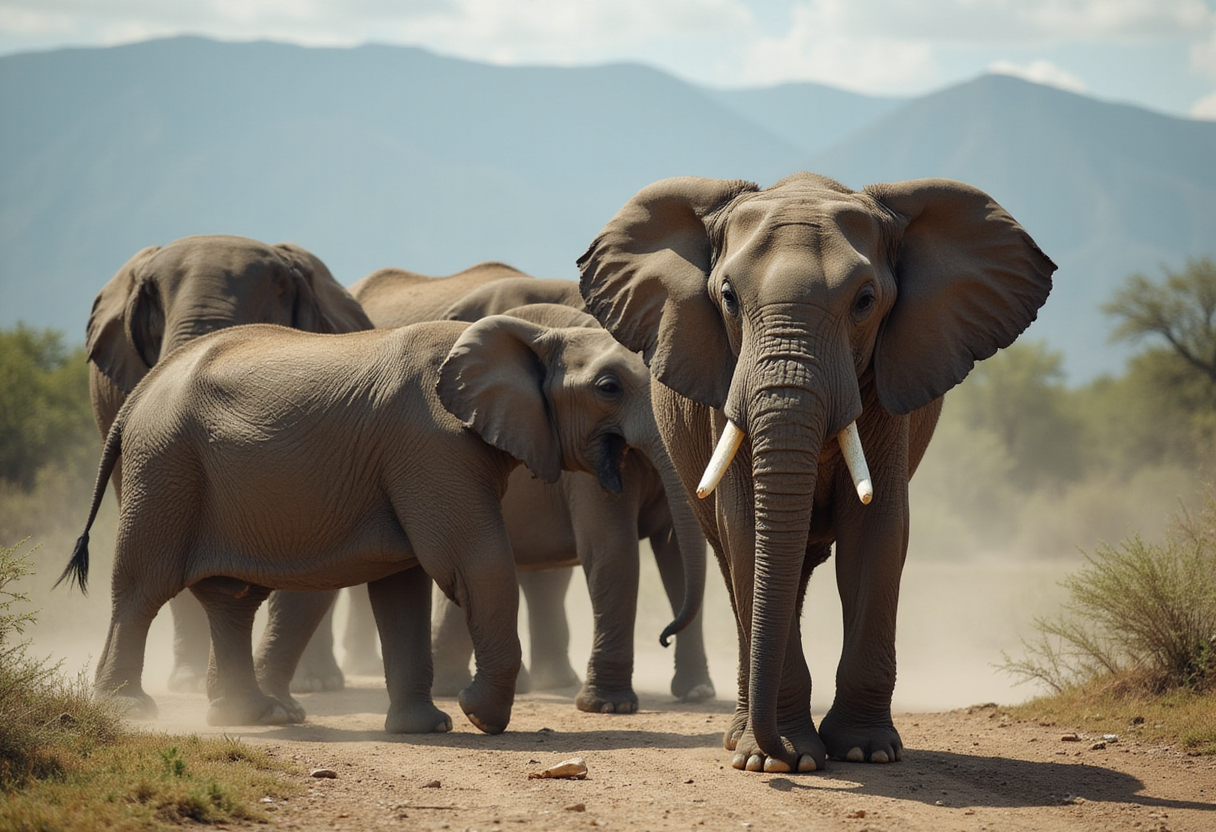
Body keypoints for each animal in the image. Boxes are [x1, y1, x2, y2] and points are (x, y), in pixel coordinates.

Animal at [60, 313, 706, 736]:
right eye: (608, 387)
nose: (663, 633)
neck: (531, 336)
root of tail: (140, 393)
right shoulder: (432, 445)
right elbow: (474, 562)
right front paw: (477, 715)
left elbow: (404, 586)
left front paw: (430, 726)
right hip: (164, 467)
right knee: (142, 589)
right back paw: (132, 711)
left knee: (232, 600)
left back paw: (256, 717)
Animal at [578, 172, 1056, 773]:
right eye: (728, 298)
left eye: (866, 301)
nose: (780, 754)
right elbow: (748, 533)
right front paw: (779, 761)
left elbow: (876, 533)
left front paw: (863, 751)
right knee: (736, 565)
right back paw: (740, 738)